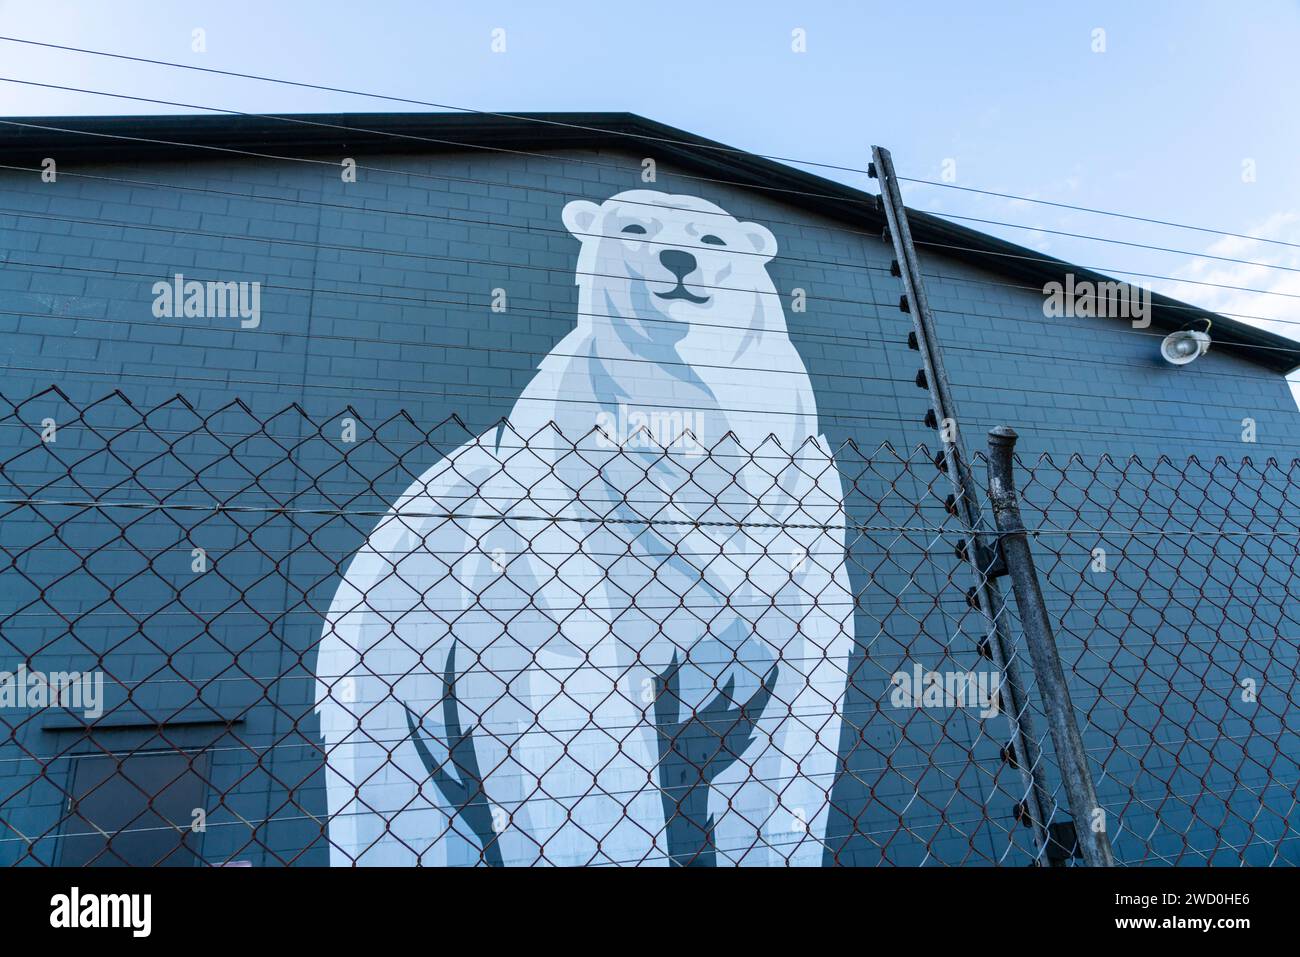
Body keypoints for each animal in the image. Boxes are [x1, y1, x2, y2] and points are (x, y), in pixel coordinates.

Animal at [317, 191, 852, 863]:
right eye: (634, 227)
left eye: (713, 237)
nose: (678, 260)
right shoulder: (565, 550)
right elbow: (578, 724)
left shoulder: (797, 544)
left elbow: (792, 732)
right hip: (380, 656)